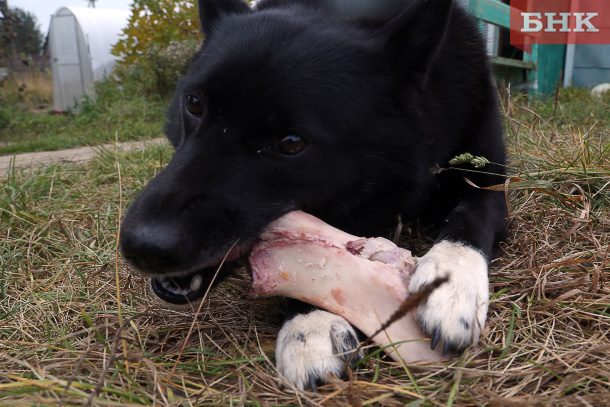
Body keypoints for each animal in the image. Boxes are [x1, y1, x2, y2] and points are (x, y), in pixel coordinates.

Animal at [119, 0, 504, 392]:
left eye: (291, 143)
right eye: (194, 103)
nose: (143, 247)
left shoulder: (492, 183)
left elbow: (470, 217)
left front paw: (449, 283)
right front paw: (310, 321)